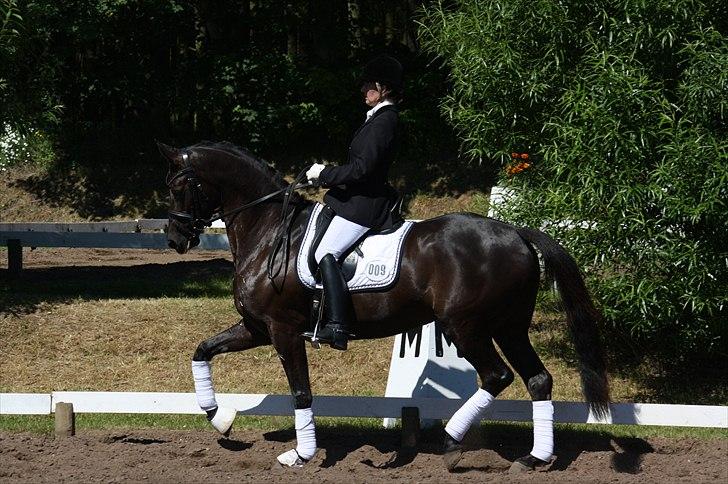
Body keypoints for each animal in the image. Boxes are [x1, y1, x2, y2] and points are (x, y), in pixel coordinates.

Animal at [159, 140, 608, 472]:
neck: (269, 232)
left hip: (466, 327)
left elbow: (301, 391)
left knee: (497, 376)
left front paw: (301, 454)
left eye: (179, 185)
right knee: (538, 380)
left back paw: (449, 442)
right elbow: (202, 351)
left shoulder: (282, 329)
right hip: (509, 326)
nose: (175, 238)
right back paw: (535, 457)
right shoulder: (256, 327)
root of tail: (516, 232)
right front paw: (220, 418)